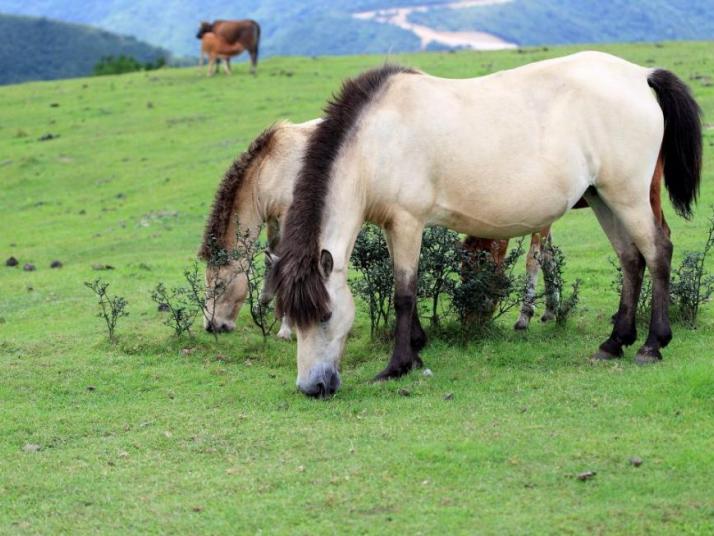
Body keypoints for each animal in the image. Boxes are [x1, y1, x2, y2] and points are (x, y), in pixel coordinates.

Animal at [264, 54, 700, 398]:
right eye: (293, 319)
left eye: (325, 316)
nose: (312, 387)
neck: (376, 140)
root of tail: (641, 75)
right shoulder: (393, 226)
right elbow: (405, 289)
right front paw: (417, 350)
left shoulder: (408, 222)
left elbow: (403, 294)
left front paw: (397, 366)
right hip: (601, 198)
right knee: (631, 259)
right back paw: (614, 343)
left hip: (628, 195)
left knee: (657, 252)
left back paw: (651, 345)